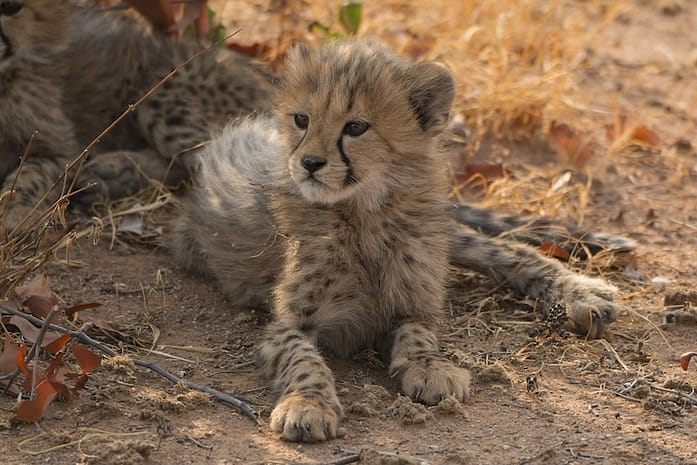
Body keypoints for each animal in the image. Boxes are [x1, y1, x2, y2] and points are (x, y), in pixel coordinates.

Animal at [0, 0, 273, 228]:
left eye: (11, 7)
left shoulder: (63, 150)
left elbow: (30, 175)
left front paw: (13, 216)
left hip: (158, 92)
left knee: (212, 160)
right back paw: (113, 175)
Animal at [172, 38, 635, 442]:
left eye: (356, 127)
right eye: (301, 119)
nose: (309, 163)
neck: (364, 212)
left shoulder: (412, 297)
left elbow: (418, 332)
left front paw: (429, 367)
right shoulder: (286, 324)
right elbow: (302, 360)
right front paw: (308, 405)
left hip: (439, 231)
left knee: (509, 249)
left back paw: (580, 294)